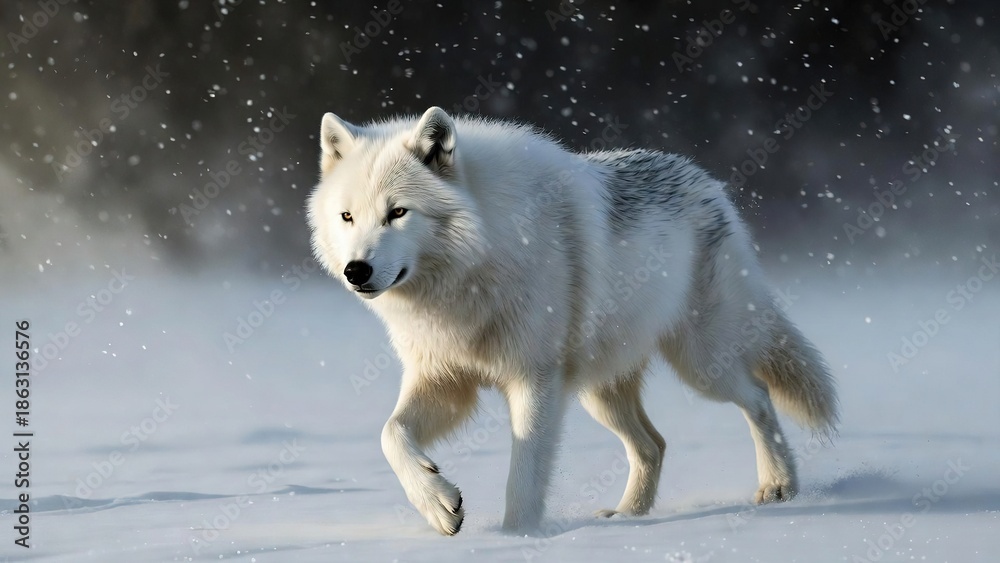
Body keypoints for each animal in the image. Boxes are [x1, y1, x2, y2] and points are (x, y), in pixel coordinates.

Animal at [307, 107, 838, 536]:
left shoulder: (535, 382)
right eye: (347, 217)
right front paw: (438, 505)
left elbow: (523, 477)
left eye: (398, 212)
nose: (356, 271)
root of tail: (708, 181)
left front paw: (516, 539)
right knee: (654, 444)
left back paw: (779, 486)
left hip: (702, 366)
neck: (469, 275)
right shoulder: (444, 380)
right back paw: (627, 517)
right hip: (600, 392)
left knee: (759, 397)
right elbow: (390, 435)